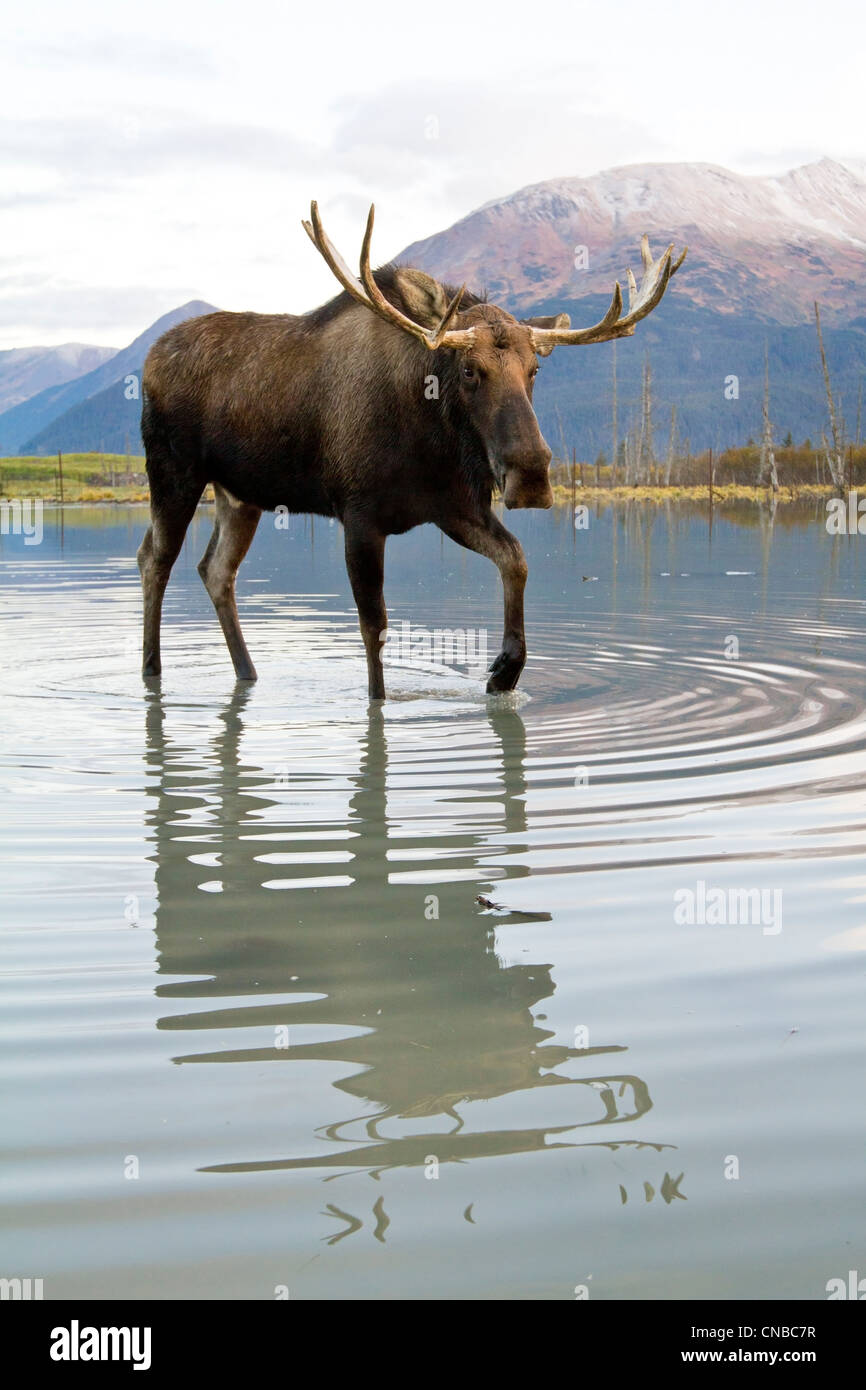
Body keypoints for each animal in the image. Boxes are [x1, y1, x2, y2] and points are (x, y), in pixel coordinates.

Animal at [139, 201, 686, 700]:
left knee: (215, 571)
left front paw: (505, 670)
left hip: (240, 495)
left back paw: (247, 674)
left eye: (535, 369)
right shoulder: (360, 517)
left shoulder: (453, 508)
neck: (429, 437)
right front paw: (380, 703)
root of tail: (148, 359)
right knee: (155, 559)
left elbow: (516, 559)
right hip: (173, 473)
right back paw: (151, 671)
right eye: (469, 369)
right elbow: (375, 630)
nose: (531, 474)